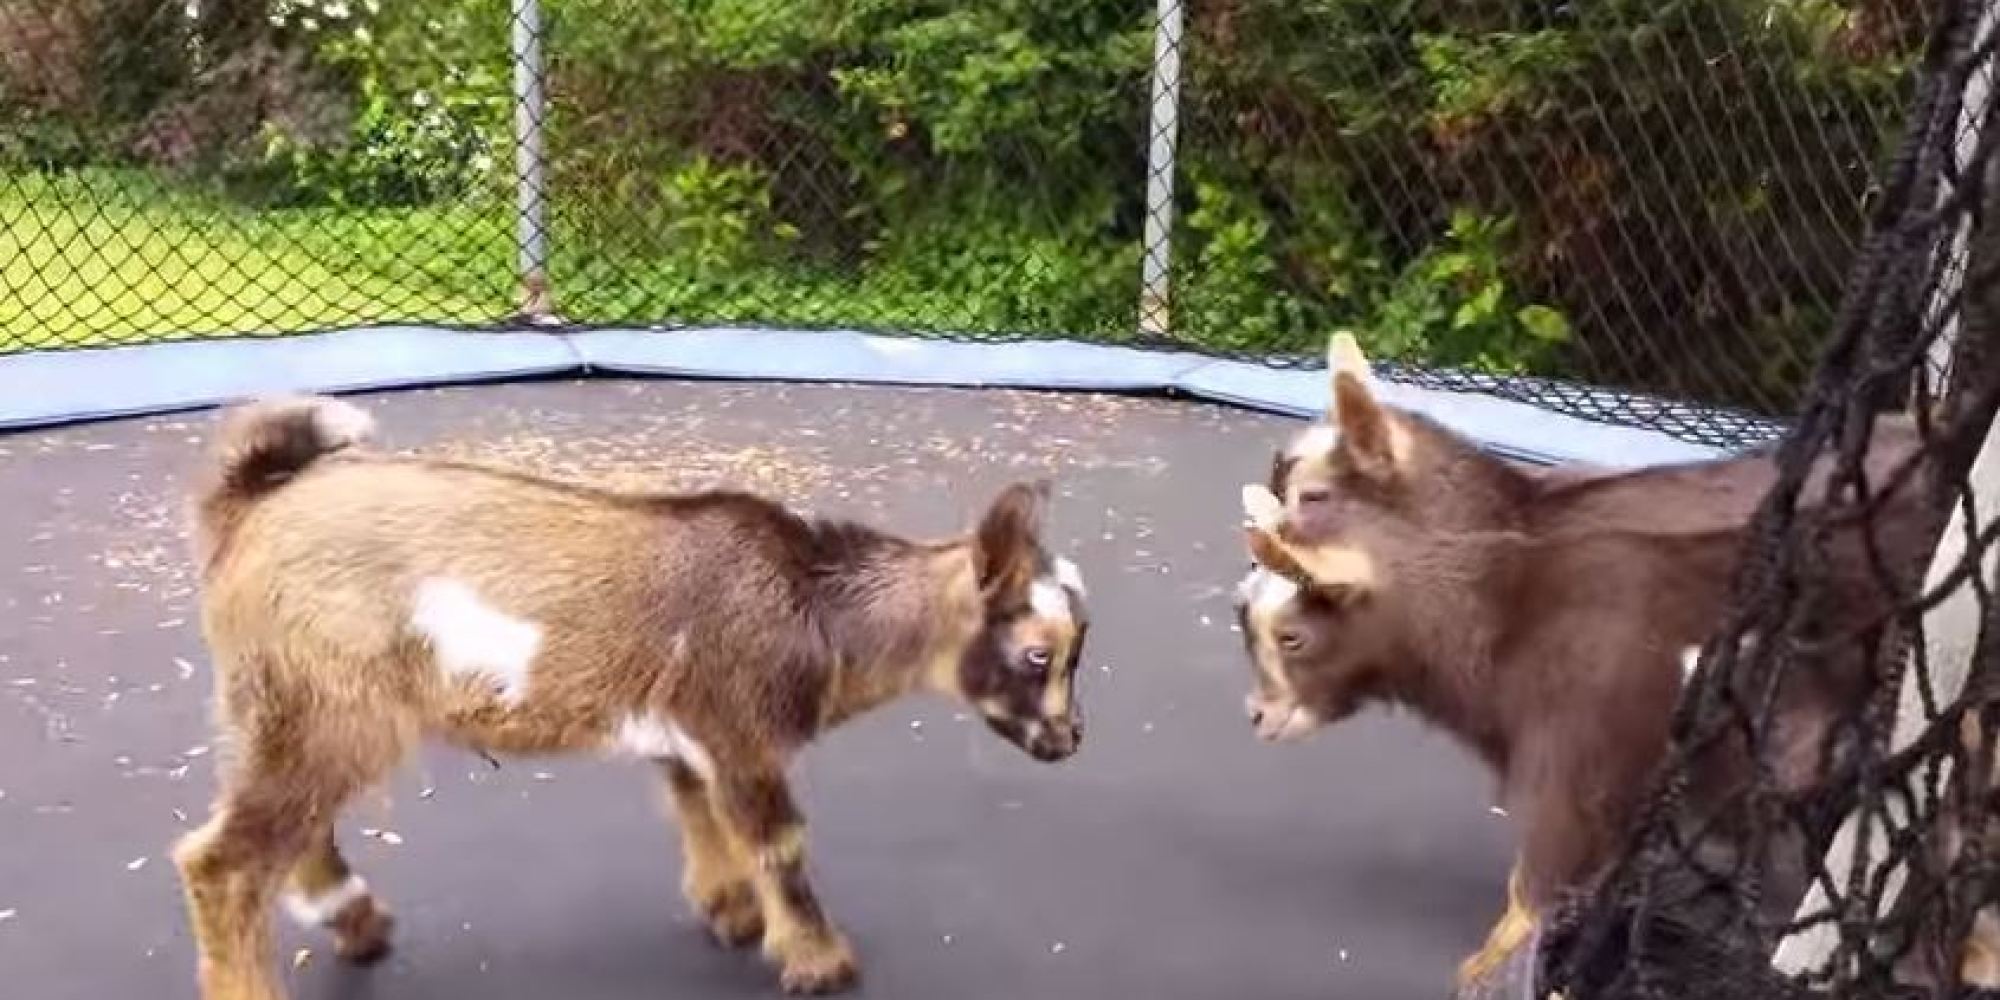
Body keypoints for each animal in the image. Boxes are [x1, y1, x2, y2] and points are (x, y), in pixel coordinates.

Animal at [172, 395, 1092, 1000]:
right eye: (1038, 654)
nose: (1070, 740)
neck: (814, 605)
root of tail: (249, 508)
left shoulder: (690, 731)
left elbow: (699, 808)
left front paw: (731, 912)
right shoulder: (742, 726)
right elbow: (778, 842)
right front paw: (821, 962)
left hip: (290, 710)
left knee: (291, 822)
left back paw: (356, 920)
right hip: (326, 705)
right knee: (224, 861)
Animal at [1228, 334, 1931, 991]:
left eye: (1292, 638)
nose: (1258, 713)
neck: (1504, 596)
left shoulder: (1582, 767)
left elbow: (1536, 889)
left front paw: (1491, 972)